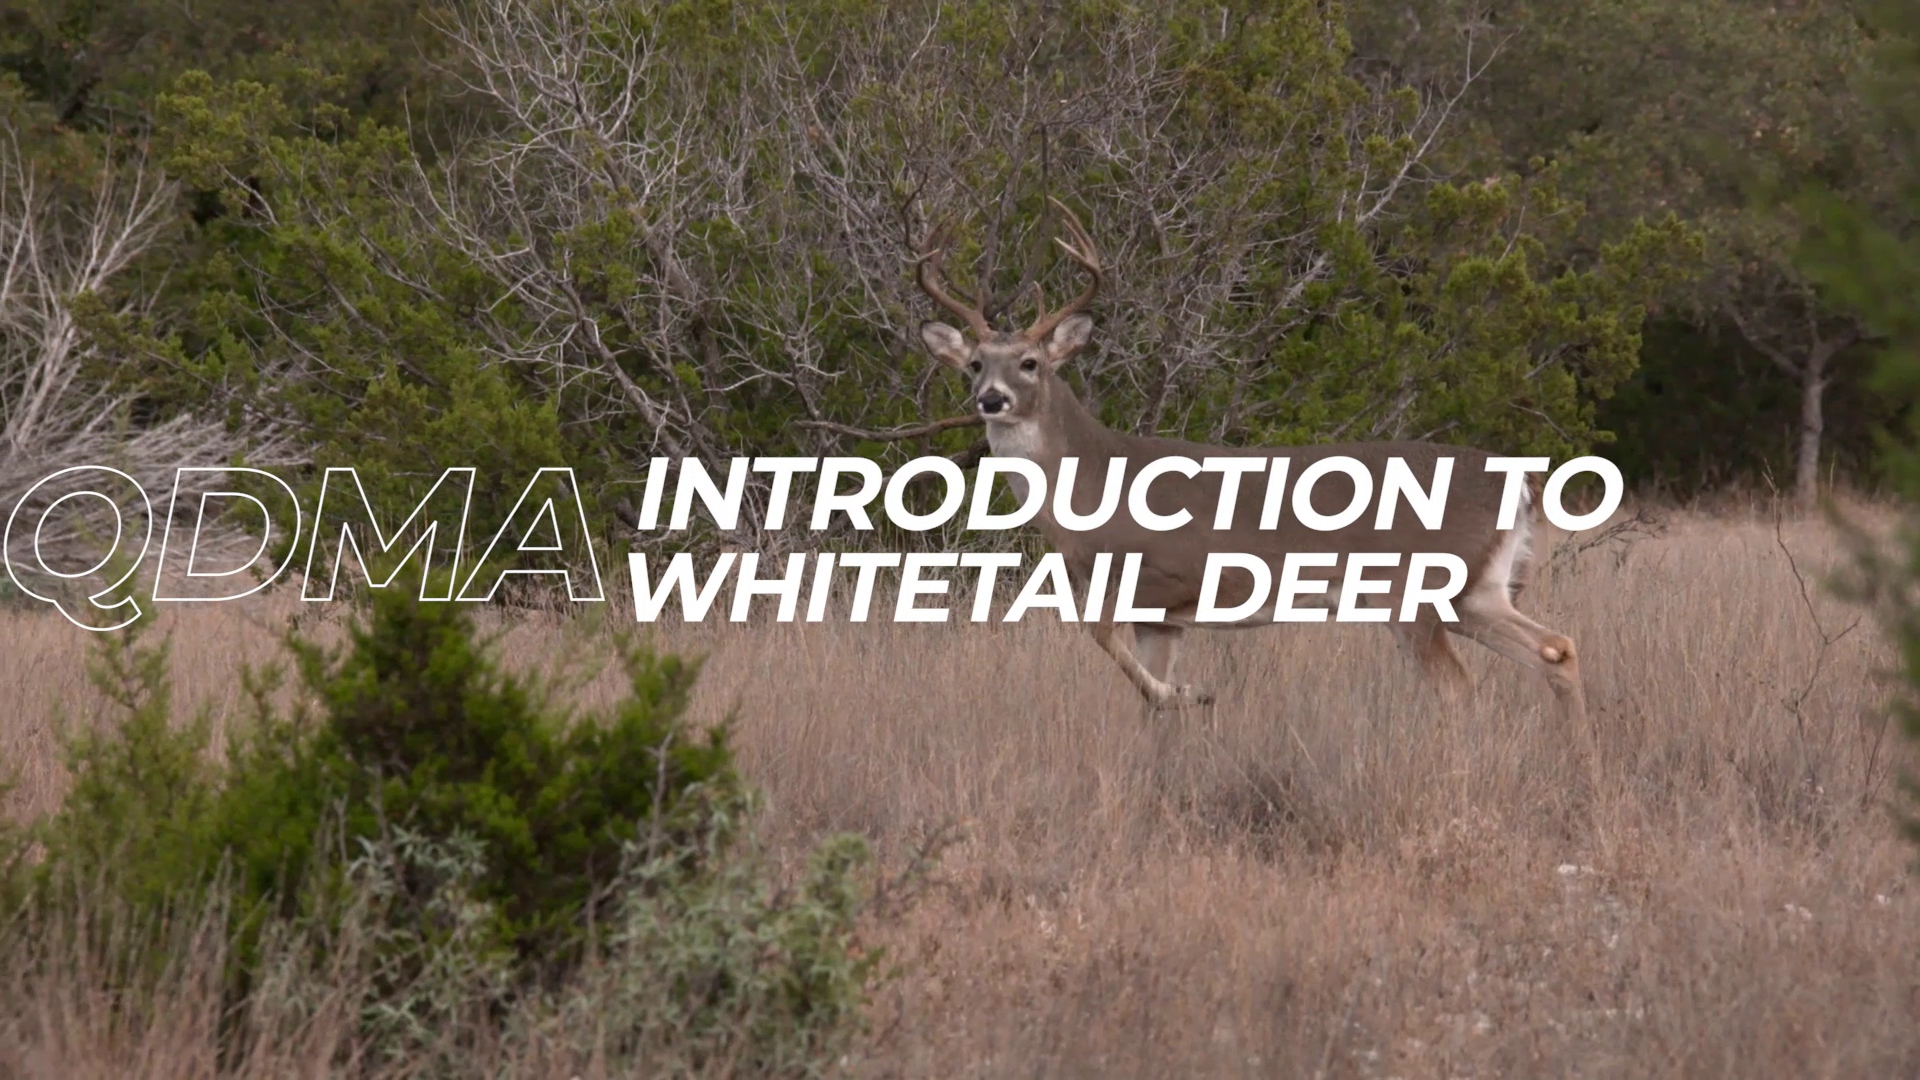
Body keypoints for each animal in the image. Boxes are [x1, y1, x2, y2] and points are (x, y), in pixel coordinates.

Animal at [912, 198, 1587, 729]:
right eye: (975, 363)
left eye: (1030, 362)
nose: (990, 399)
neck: (1093, 480)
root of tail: (1523, 479)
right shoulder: (1160, 617)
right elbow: (1142, 703)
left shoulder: (1168, 573)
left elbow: (1100, 637)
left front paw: (1193, 693)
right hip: (1477, 591)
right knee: (1557, 649)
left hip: (1413, 590)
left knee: (1458, 685)